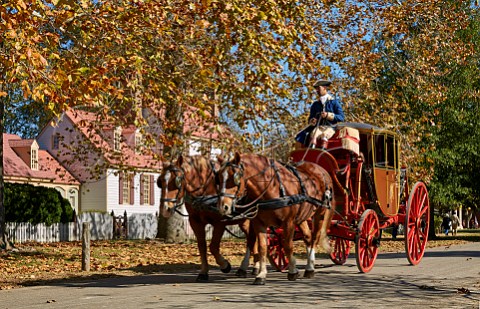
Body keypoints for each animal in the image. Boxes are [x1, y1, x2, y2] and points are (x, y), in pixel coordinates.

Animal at [217, 152, 334, 284]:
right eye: (219, 178)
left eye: (235, 178)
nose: (223, 206)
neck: (272, 189)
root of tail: (322, 171)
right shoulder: (259, 222)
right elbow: (262, 247)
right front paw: (261, 274)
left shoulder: (288, 222)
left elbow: (287, 245)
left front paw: (293, 271)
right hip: (302, 217)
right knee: (308, 237)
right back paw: (309, 267)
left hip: (320, 213)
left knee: (314, 238)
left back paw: (310, 267)